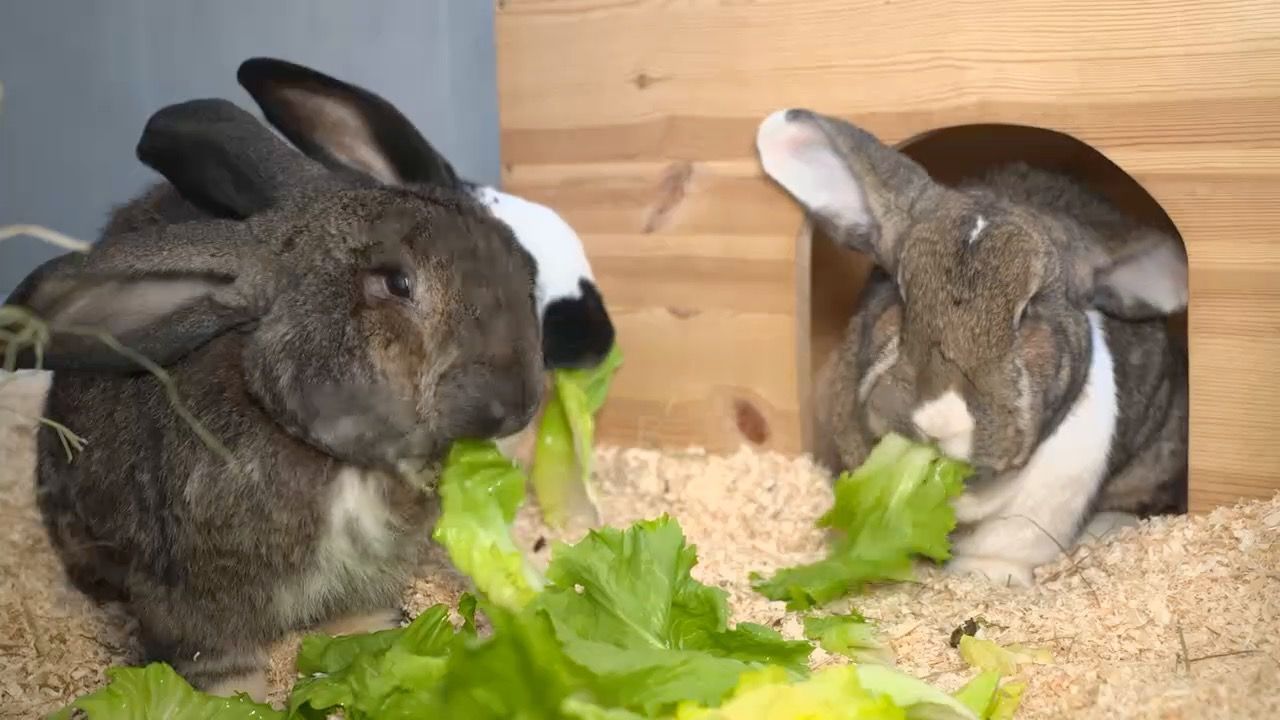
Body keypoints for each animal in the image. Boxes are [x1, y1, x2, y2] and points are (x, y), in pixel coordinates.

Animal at [4, 95, 546, 700]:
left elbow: (354, 618)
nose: (519, 404)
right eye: (396, 283)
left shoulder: (366, 576)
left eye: (526, 268)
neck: (343, 462)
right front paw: (231, 701)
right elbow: (216, 661)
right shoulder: (189, 601)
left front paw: (373, 643)